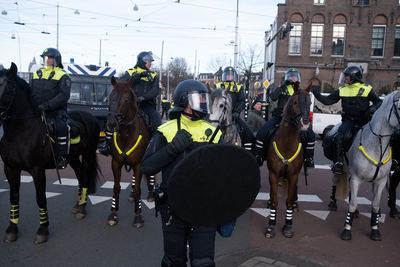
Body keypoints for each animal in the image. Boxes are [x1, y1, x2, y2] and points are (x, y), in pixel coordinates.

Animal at [0, 63, 99, 245]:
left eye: (9, 87)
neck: (19, 133)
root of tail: (89, 116)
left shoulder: (37, 171)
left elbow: (41, 198)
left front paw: (43, 230)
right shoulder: (10, 169)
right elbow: (14, 197)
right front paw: (12, 229)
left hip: (88, 155)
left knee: (86, 177)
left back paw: (82, 209)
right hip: (73, 158)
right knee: (81, 175)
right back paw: (78, 205)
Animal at [105, 76, 154, 228]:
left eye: (126, 100)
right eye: (110, 97)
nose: (111, 123)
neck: (126, 134)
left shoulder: (139, 164)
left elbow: (138, 189)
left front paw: (138, 216)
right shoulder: (116, 163)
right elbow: (116, 187)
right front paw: (113, 214)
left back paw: (151, 194)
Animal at [266, 81, 312, 239]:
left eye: (310, 102)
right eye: (295, 102)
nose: (305, 123)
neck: (286, 143)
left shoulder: (293, 175)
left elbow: (289, 201)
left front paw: (287, 226)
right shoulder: (273, 174)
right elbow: (275, 201)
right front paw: (271, 226)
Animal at [336, 91, 400, 242]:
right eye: (399, 108)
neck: (377, 146)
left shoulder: (381, 181)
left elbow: (375, 205)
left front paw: (375, 230)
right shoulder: (356, 179)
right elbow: (353, 203)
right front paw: (347, 230)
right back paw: (332, 204)